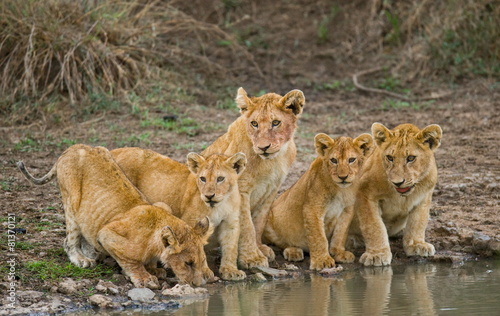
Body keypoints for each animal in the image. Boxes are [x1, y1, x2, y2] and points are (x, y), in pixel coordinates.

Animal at [16, 145, 212, 288]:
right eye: (188, 263)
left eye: (202, 261)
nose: (198, 284)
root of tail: (71, 148)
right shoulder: (106, 234)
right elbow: (131, 261)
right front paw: (144, 277)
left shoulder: (162, 204)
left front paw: (154, 269)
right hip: (71, 202)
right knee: (69, 240)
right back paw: (82, 259)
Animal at [111, 148, 248, 282]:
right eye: (203, 179)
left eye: (220, 179)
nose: (209, 196)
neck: (220, 204)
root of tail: (114, 150)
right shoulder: (191, 221)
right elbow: (198, 248)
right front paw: (205, 271)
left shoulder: (230, 223)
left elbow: (231, 248)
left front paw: (230, 270)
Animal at [200, 87, 302, 270]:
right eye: (254, 124)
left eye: (276, 122)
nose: (263, 147)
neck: (272, 161)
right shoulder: (240, 190)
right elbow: (247, 225)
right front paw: (252, 257)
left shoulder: (272, 189)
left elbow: (259, 221)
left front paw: (260, 248)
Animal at [264, 133, 374, 270]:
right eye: (334, 160)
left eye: (351, 160)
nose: (343, 177)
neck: (341, 190)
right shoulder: (313, 208)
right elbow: (319, 237)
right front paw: (322, 260)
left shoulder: (347, 210)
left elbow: (340, 233)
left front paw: (338, 253)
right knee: (282, 242)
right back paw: (293, 251)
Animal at [350, 122, 444, 266]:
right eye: (390, 158)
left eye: (410, 158)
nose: (398, 183)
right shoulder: (364, 194)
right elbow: (373, 225)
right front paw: (377, 254)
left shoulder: (424, 197)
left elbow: (418, 222)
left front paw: (417, 245)